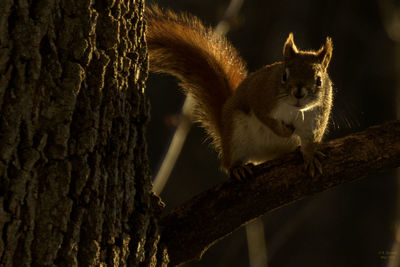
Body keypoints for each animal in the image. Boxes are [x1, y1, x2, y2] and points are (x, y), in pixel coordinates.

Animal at [145, 5, 332, 180]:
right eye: (284, 75)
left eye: (319, 80)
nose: (299, 93)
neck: (295, 110)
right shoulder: (261, 96)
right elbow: (264, 116)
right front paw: (284, 131)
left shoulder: (317, 117)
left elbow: (311, 140)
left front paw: (310, 156)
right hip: (236, 135)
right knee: (229, 164)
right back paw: (238, 168)